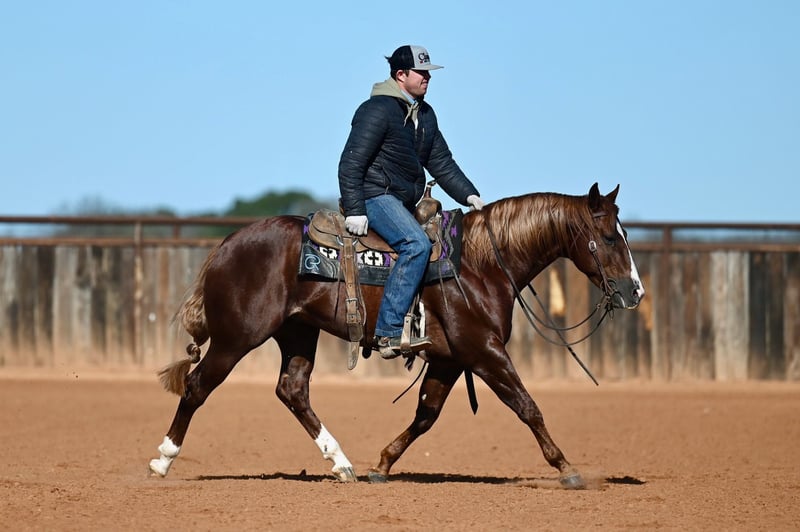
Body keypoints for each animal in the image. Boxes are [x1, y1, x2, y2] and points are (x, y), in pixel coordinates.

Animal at [148, 183, 644, 488]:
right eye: (609, 237)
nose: (635, 291)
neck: (480, 264)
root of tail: (226, 245)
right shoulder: (485, 352)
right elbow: (527, 406)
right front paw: (567, 469)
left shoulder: (449, 359)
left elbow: (426, 415)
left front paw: (382, 464)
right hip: (237, 338)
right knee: (196, 386)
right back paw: (162, 460)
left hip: (297, 333)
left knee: (292, 390)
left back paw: (342, 464)